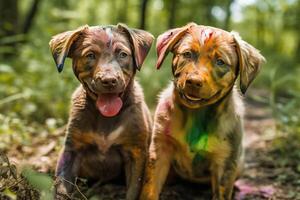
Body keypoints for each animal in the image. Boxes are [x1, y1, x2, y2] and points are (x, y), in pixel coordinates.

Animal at [141, 22, 264, 199]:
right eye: (187, 54)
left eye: (220, 62)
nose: (193, 81)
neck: (196, 115)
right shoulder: (159, 149)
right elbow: (149, 188)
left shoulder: (225, 161)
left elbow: (221, 193)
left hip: (239, 163)